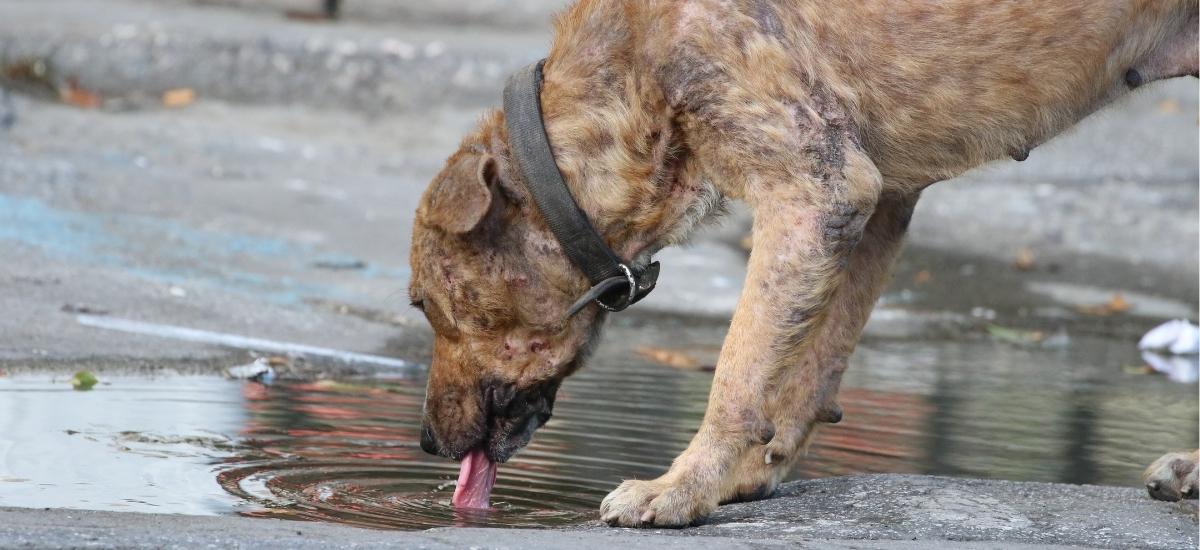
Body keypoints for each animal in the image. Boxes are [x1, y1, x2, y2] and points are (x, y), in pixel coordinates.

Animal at [405, 0, 1200, 525]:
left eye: (421, 304)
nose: (425, 444)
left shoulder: (815, 191)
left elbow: (738, 370)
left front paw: (683, 489)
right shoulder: (877, 203)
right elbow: (810, 365)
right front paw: (748, 474)